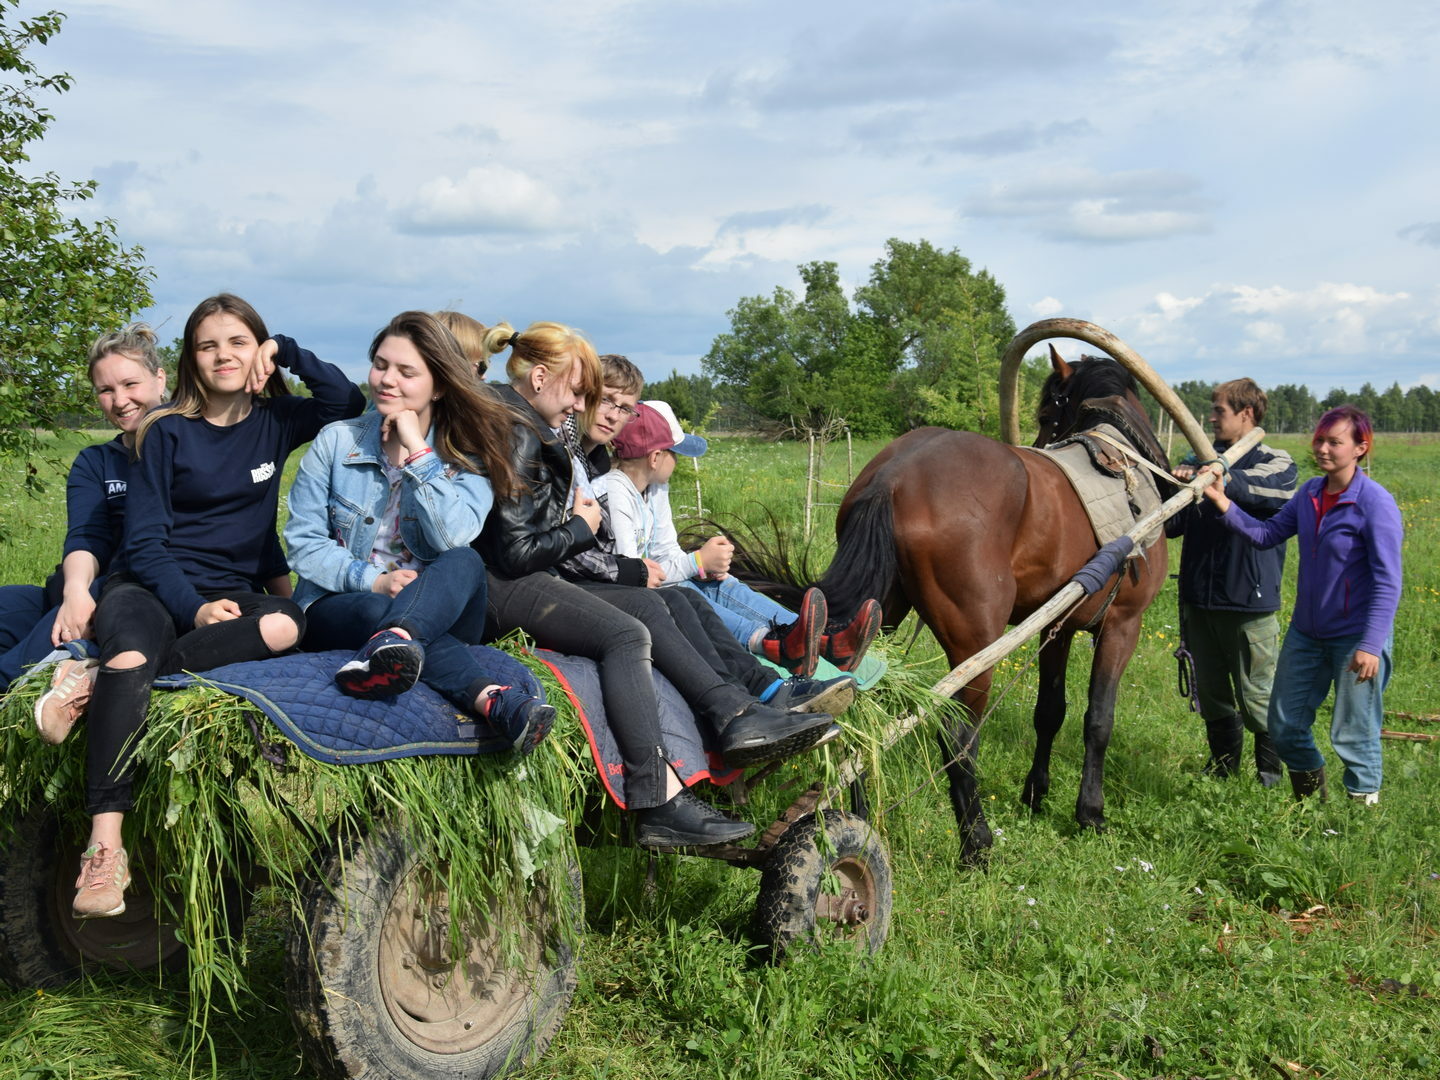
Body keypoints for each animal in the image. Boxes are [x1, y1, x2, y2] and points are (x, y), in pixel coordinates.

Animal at [754, 351, 1169, 869]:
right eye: (1045, 415)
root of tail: (892, 478)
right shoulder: (1123, 625)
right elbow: (1099, 721)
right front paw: (1090, 812)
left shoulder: (1057, 625)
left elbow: (1050, 711)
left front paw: (1037, 794)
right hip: (976, 644)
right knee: (957, 735)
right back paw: (977, 844)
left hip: (880, 620)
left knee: (862, 716)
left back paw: (861, 818)